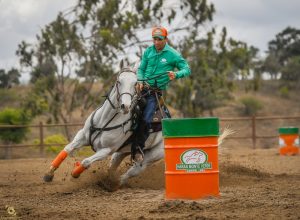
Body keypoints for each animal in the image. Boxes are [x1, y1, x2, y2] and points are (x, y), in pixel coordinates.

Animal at [43, 59, 165, 188]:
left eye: (135, 83)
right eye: (118, 81)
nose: (125, 106)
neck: (105, 120)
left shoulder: (106, 150)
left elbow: (86, 161)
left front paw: (75, 173)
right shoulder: (83, 136)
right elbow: (67, 149)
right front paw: (49, 174)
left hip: (150, 157)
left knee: (130, 173)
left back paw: (113, 185)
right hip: (121, 152)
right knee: (112, 167)